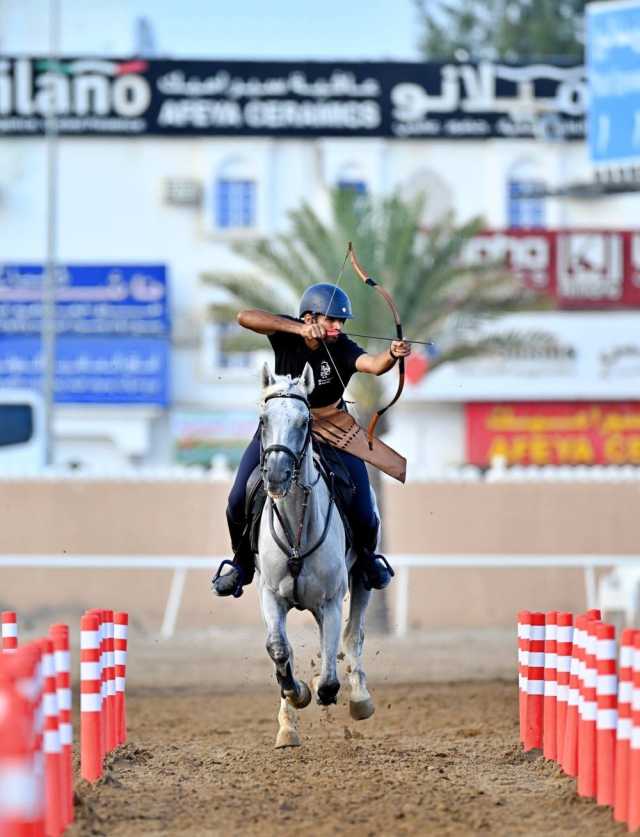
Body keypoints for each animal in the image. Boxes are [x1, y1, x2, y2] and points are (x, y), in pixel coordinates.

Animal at [256, 362, 376, 748]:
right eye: (263, 419)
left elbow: (329, 676)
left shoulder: (331, 599)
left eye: (304, 421)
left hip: (362, 579)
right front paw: (294, 699)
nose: (277, 476)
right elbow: (280, 649)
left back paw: (360, 698)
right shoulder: (271, 595)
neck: (297, 526)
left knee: (352, 637)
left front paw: (320, 689)